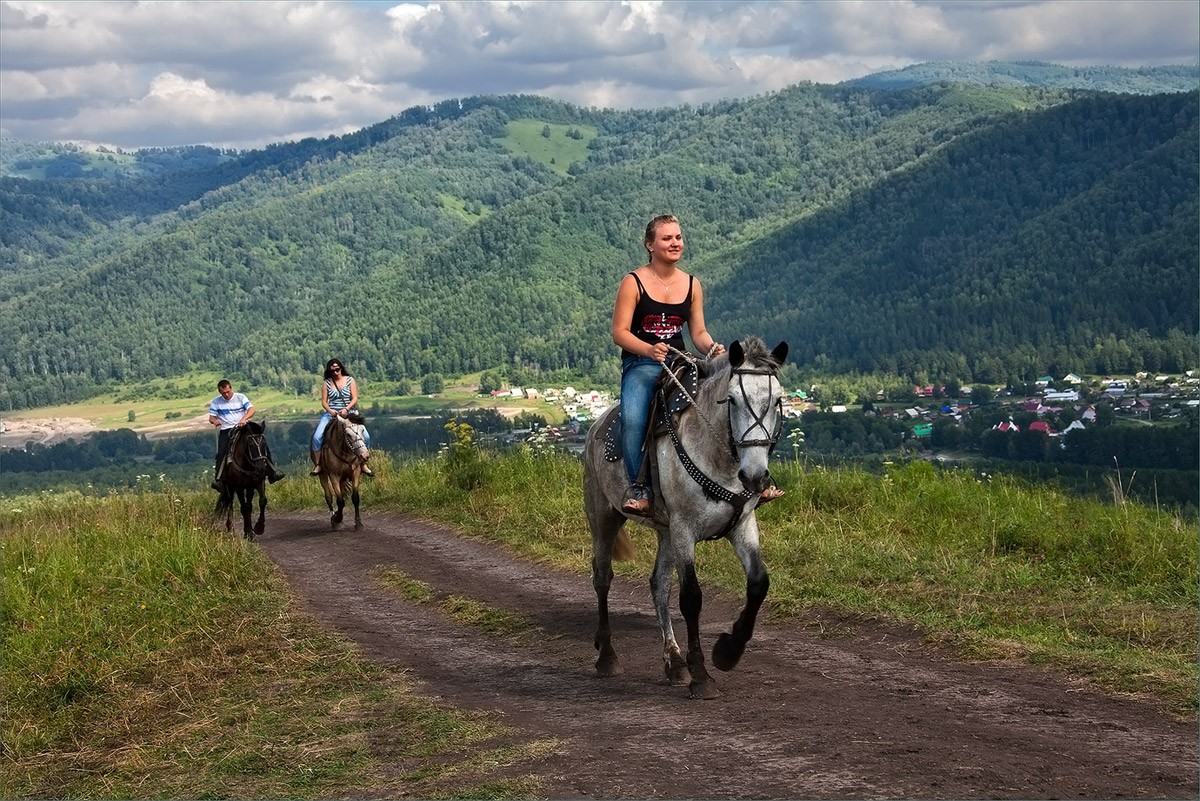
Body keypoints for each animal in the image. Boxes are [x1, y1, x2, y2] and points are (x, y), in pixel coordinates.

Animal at [580, 335, 787, 695]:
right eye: (731, 400)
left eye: (777, 400)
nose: (755, 477)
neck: (719, 457)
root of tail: (594, 427)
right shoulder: (684, 529)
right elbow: (691, 597)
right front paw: (702, 676)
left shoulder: (742, 525)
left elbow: (759, 583)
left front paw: (728, 651)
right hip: (604, 517)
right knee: (602, 578)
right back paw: (607, 656)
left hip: (665, 531)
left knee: (658, 585)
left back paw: (674, 662)